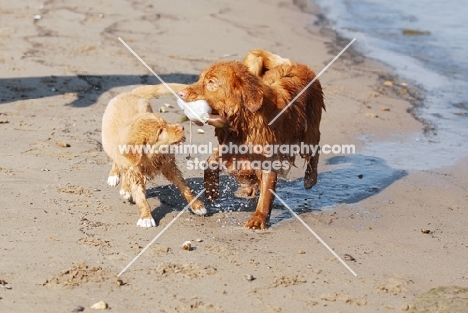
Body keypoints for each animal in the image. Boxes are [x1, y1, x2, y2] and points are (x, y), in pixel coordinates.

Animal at [101, 83, 206, 227]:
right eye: (160, 132)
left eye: (166, 123)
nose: (182, 127)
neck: (150, 156)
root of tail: (131, 93)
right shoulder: (135, 173)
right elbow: (141, 198)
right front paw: (146, 217)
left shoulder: (170, 167)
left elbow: (184, 187)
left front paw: (197, 206)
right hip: (107, 142)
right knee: (116, 161)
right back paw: (115, 178)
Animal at [177, 49, 324, 229]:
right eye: (199, 78)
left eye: (211, 82)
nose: (180, 93)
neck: (244, 123)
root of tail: (296, 65)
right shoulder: (229, 146)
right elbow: (211, 162)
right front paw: (211, 190)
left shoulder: (268, 159)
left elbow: (266, 195)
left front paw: (258, 219)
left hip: (308, 134)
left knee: (314, 152)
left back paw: (310, 178)